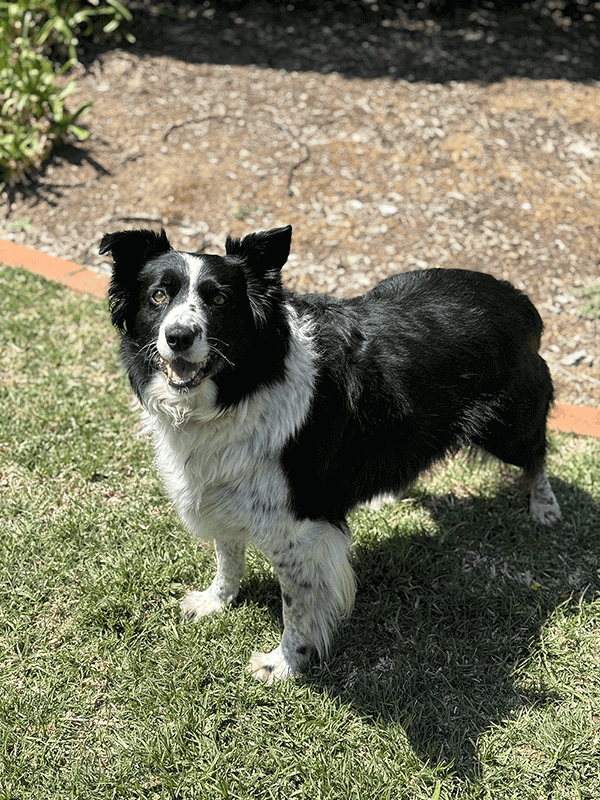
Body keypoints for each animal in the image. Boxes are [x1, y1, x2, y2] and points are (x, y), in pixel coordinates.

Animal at [99, 223, 564, 680]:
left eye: (219, 300)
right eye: (158, 295)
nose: (178, 337)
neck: (242, 389)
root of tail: (516, 297)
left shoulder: (302, 530)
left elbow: (298, 606)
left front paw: (285, 664)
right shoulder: (223, 490)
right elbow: (227, 556)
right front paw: (218, 600)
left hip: (506, 426)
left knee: (537, 453)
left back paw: (545, 507)